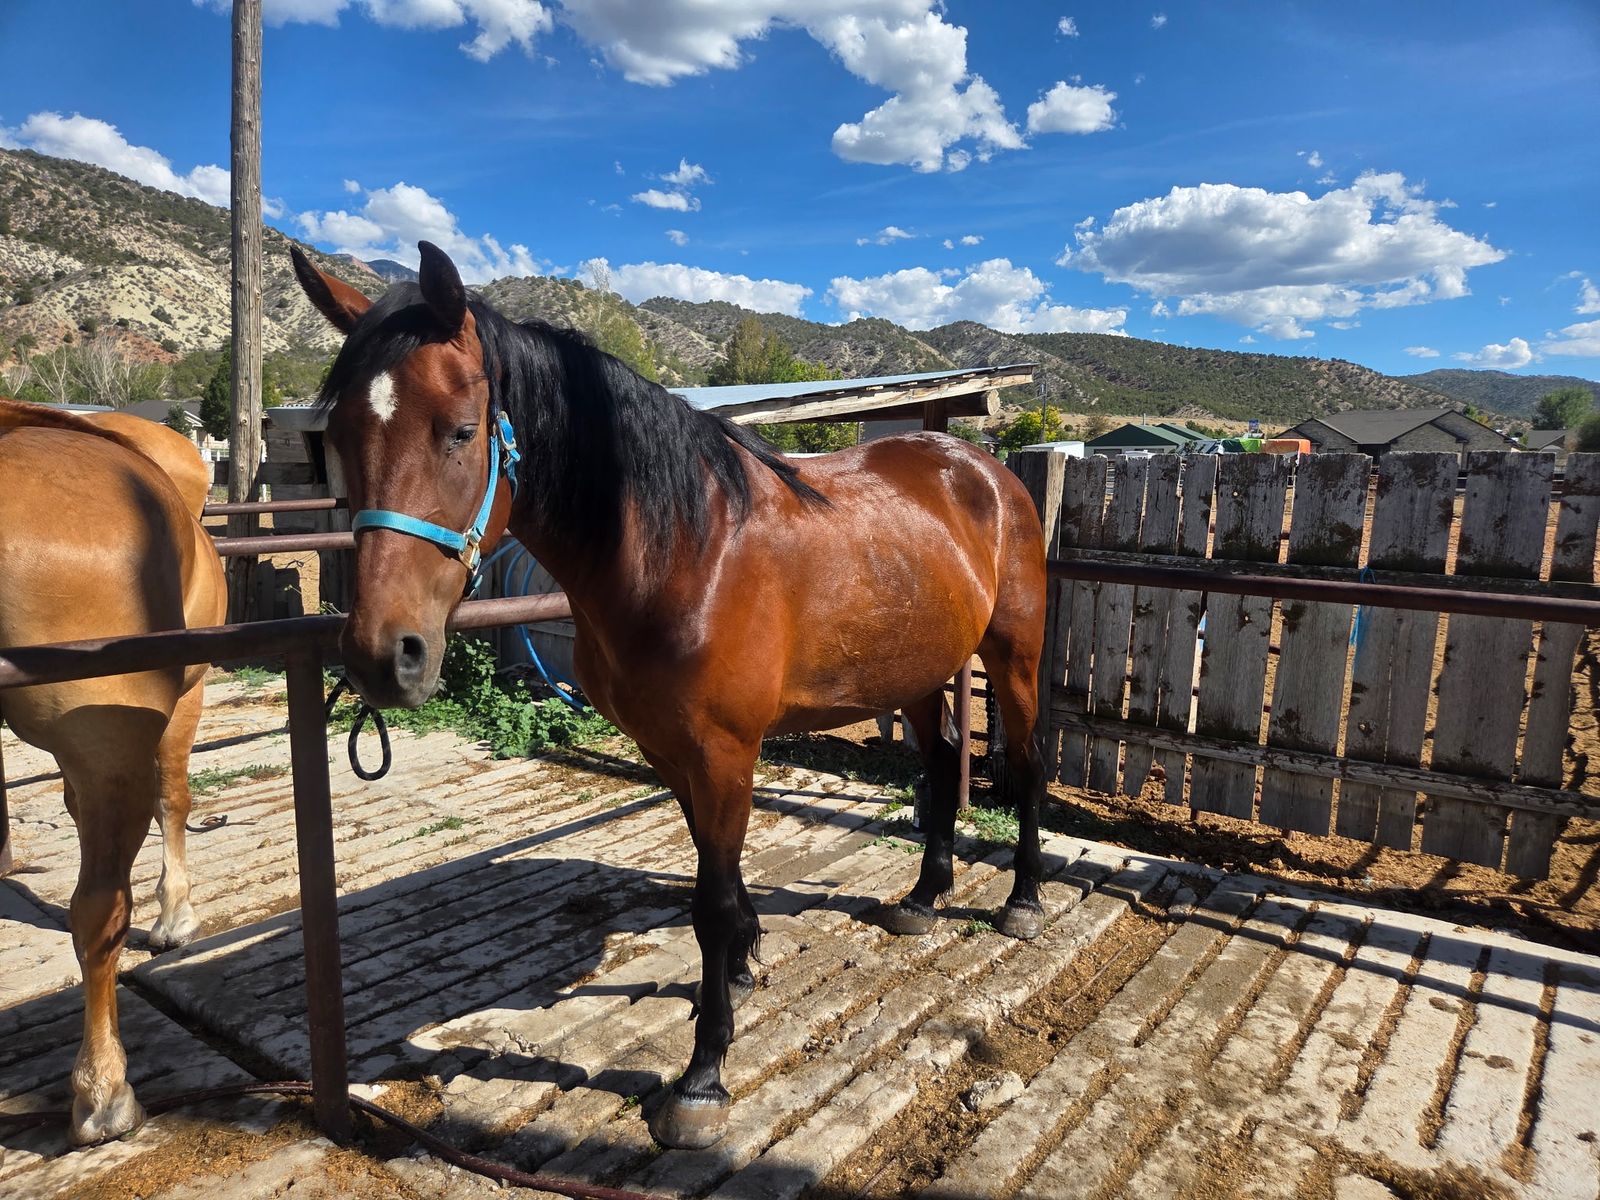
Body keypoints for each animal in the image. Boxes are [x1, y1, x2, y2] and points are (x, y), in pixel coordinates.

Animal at [0, 397, 226, 1145]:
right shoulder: (183, 698)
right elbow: (175, 799)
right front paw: (175, 913)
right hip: (112, 746)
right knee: (99, 908)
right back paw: (104, 1091)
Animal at [290, 240, 1050, 1150]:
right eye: (338, 440)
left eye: (462, 431)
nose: (382, 656)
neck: (686, 547)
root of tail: (979, 466)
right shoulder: (670, 748)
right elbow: (713, 879)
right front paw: (746, 964)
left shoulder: (724, 753)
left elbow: (710, 903)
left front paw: (704, 1075)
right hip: (918, 670)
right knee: (938, 760)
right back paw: (925, 897)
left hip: (1012, 655)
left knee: (1027, 765)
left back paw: (1025, 901)